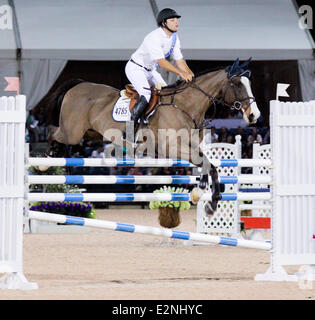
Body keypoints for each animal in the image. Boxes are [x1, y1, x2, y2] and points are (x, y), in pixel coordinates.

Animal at [45, 57, 262, 218]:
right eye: (237, 84)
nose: (254, 115)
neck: (186, 105)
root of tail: (78, 85)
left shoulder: (192, 146)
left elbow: (208, 164)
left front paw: (200, 193)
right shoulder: (172, 148)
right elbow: (209, 165)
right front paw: (210, 203)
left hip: (90, 132)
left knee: (61, 141)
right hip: (72, 132)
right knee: (52, 133)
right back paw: (46, 164)